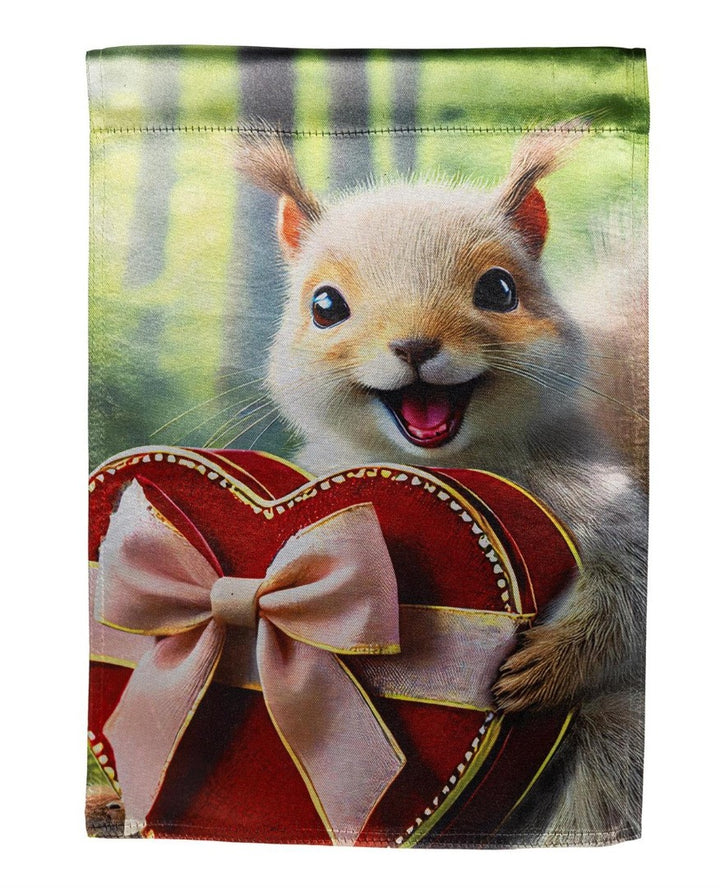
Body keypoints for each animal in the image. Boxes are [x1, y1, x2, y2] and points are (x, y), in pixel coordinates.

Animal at [234, 122, 647, 846]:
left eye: (500, 291)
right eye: (324, 306)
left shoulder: (595, 496)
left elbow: (632, 590)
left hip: (614, 744)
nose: (415, 345)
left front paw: (546, 667)